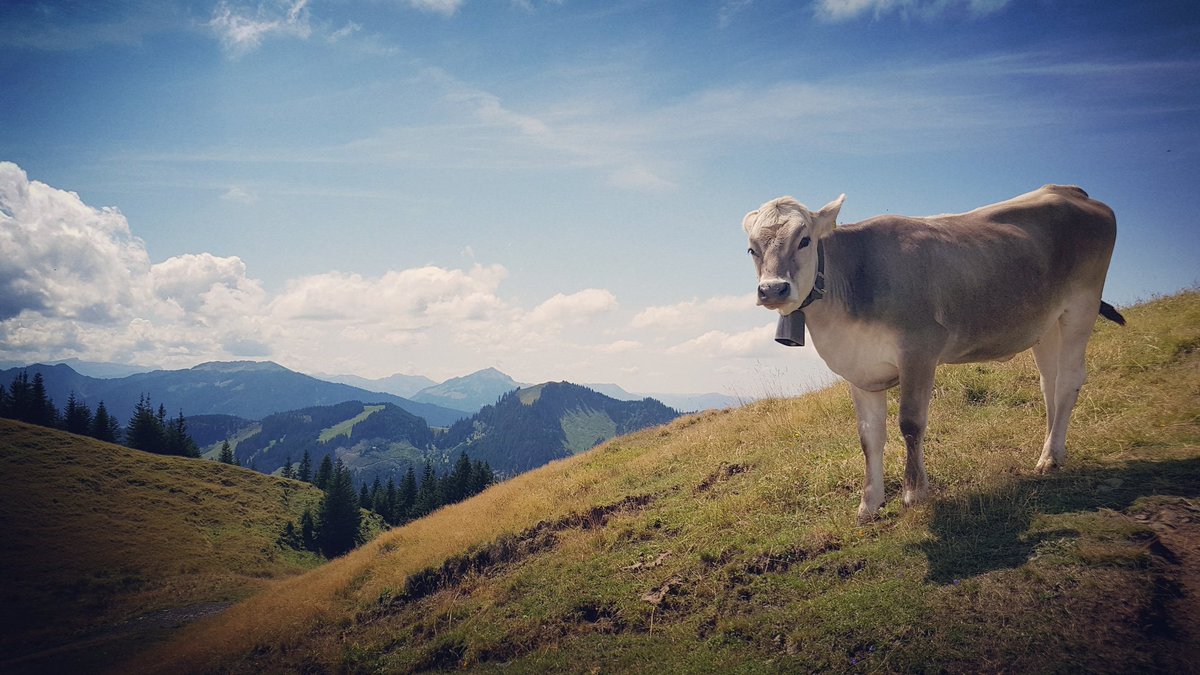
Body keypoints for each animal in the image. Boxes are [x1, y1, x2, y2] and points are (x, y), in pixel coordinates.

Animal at [742, 185, 1124, 523]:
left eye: (804, 240)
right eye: (752, 249)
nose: (772, 289)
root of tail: (1068, 190)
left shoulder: (918, 351)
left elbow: (910, 423)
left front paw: (914, 492)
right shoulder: (861, 370)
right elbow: (869, 437)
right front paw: (869, 504)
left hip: (1081, 306)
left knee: (1068, 381)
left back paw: (1050, 456)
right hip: (1045, 324)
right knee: (1050, 385)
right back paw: (1051, 451)